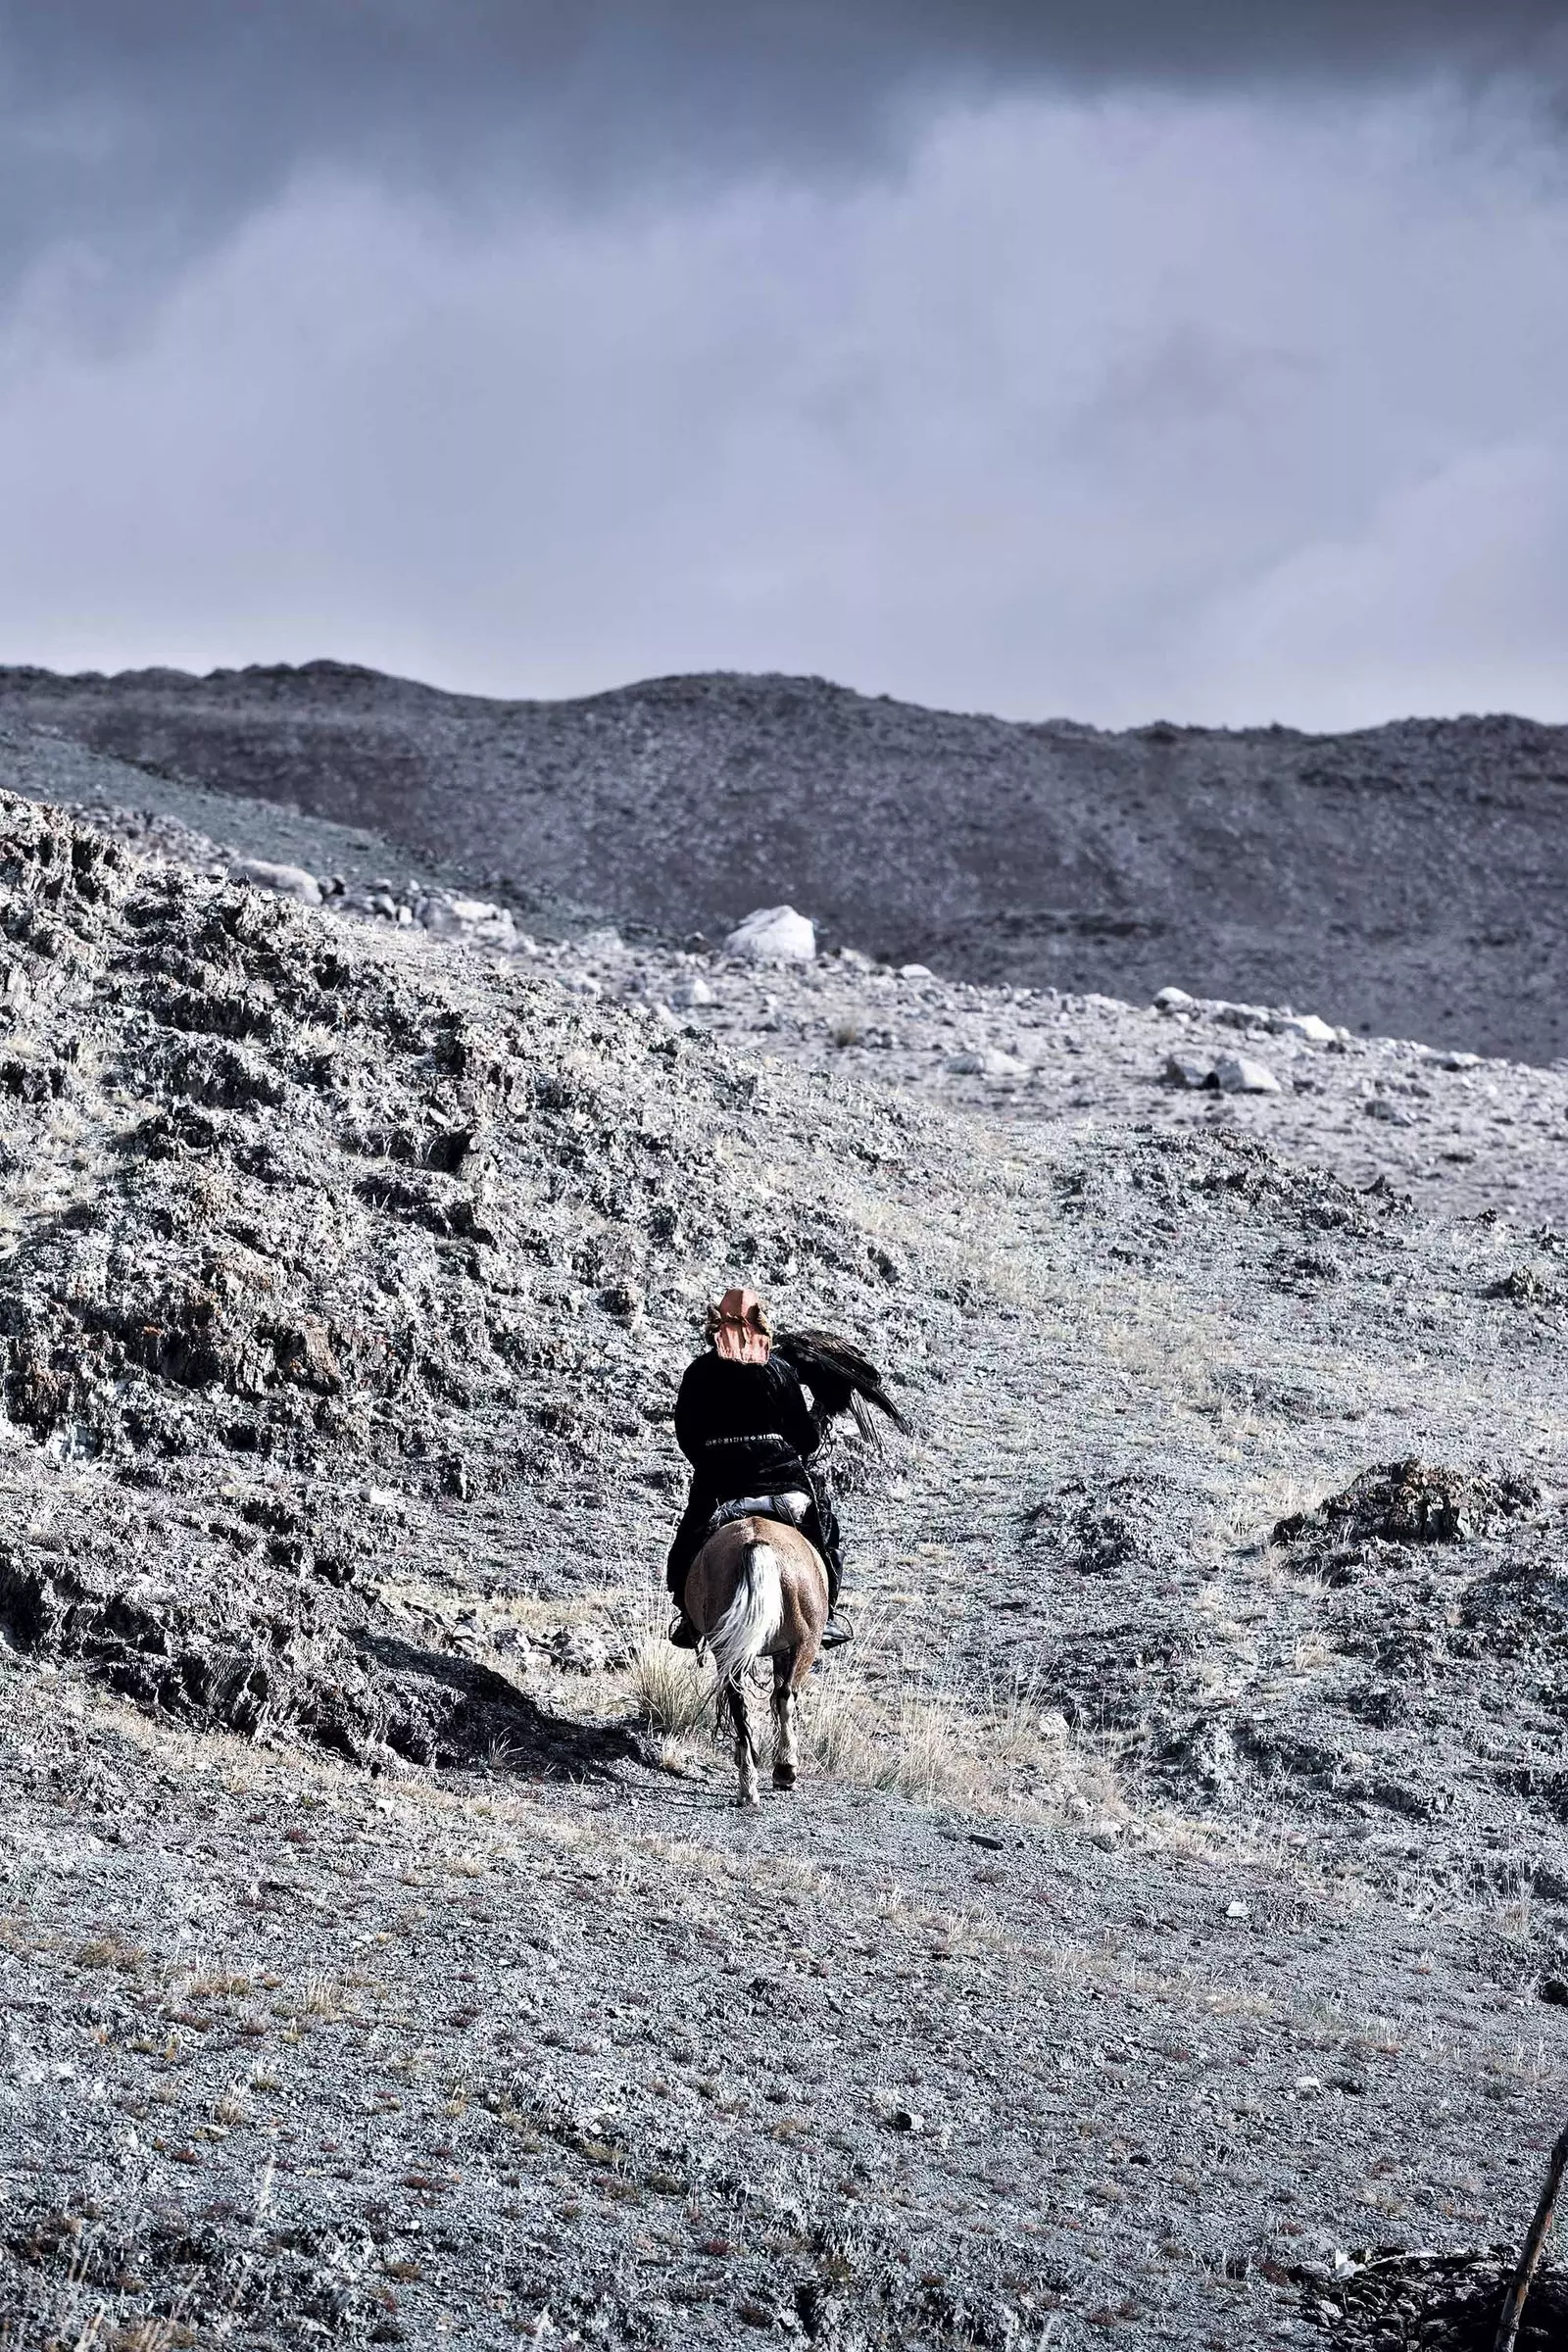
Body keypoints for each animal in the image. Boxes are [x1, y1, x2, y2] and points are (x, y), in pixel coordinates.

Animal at [686, 1514, 832, 1806]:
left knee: (737, 1701)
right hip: (806, 1643)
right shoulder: (787, 1650)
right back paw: (785, 1770)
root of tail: (756, 1543)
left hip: (728, 1649)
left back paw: (747, 1783)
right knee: (785, 1695)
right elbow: (780, 1696)